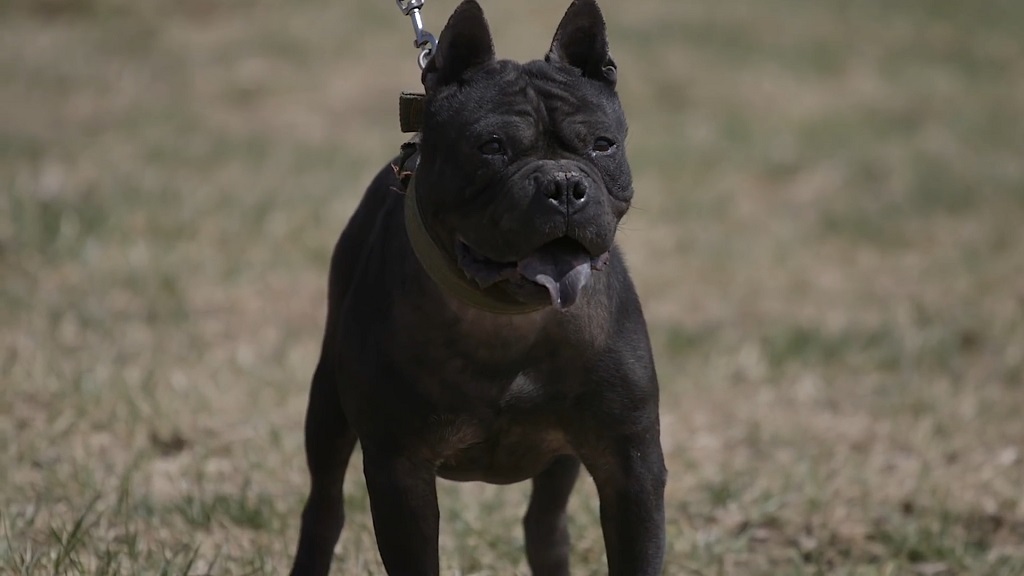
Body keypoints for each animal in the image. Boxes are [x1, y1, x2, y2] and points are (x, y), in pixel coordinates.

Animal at [292, 2, 667, 569]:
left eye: (603, 145)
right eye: (491, 147)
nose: (563, 185)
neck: (508, 316)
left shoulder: (631, 465)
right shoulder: (400, 470)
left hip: (564, 461)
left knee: (545, 523)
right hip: (328, 408)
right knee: (324, 504)